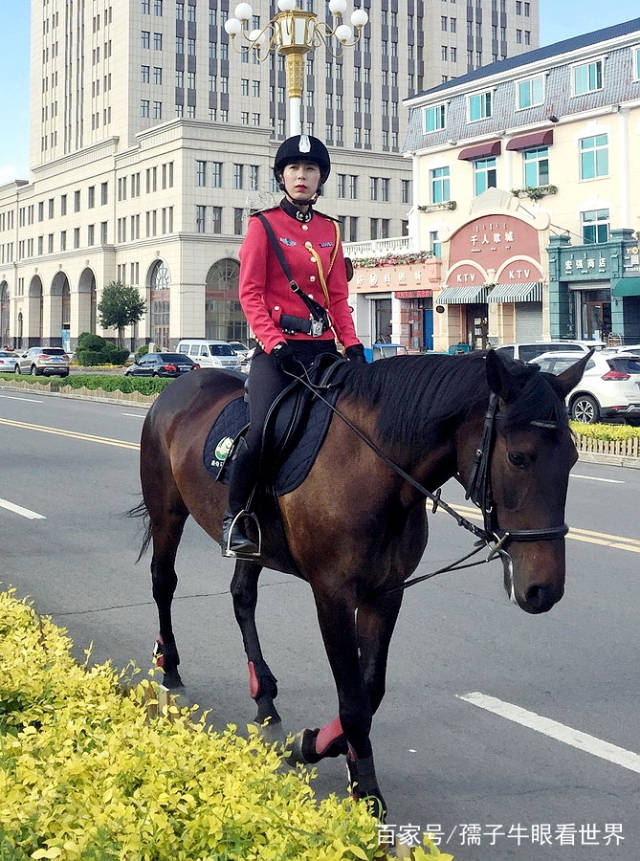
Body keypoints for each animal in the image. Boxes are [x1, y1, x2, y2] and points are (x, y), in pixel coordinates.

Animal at [132, 348, 588, 812]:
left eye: (572, 458)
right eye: (518, 458)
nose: (543, 590)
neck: (375, 471)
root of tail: (179, 386)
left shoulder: (385, 593)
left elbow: (370, 691)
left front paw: (321, 746)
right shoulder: (332, 595)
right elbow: (353, 700)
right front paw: (363, 785)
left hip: (254, 545)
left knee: (242, 597)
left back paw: (265, 699)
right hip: (168, 510)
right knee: (163, 582)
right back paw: (169, 666)